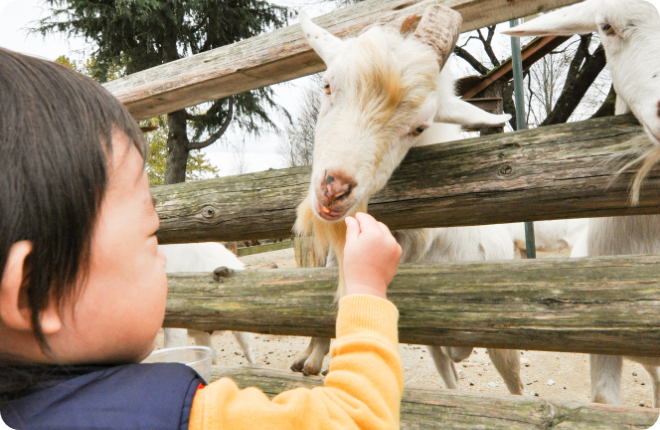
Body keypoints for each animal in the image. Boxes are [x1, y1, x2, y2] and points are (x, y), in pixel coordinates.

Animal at [294, 7, 524, 396]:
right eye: (327, 85)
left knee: (510, 380)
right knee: (449, 375)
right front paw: (311, 357)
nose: (335, 188)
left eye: (418, 127)